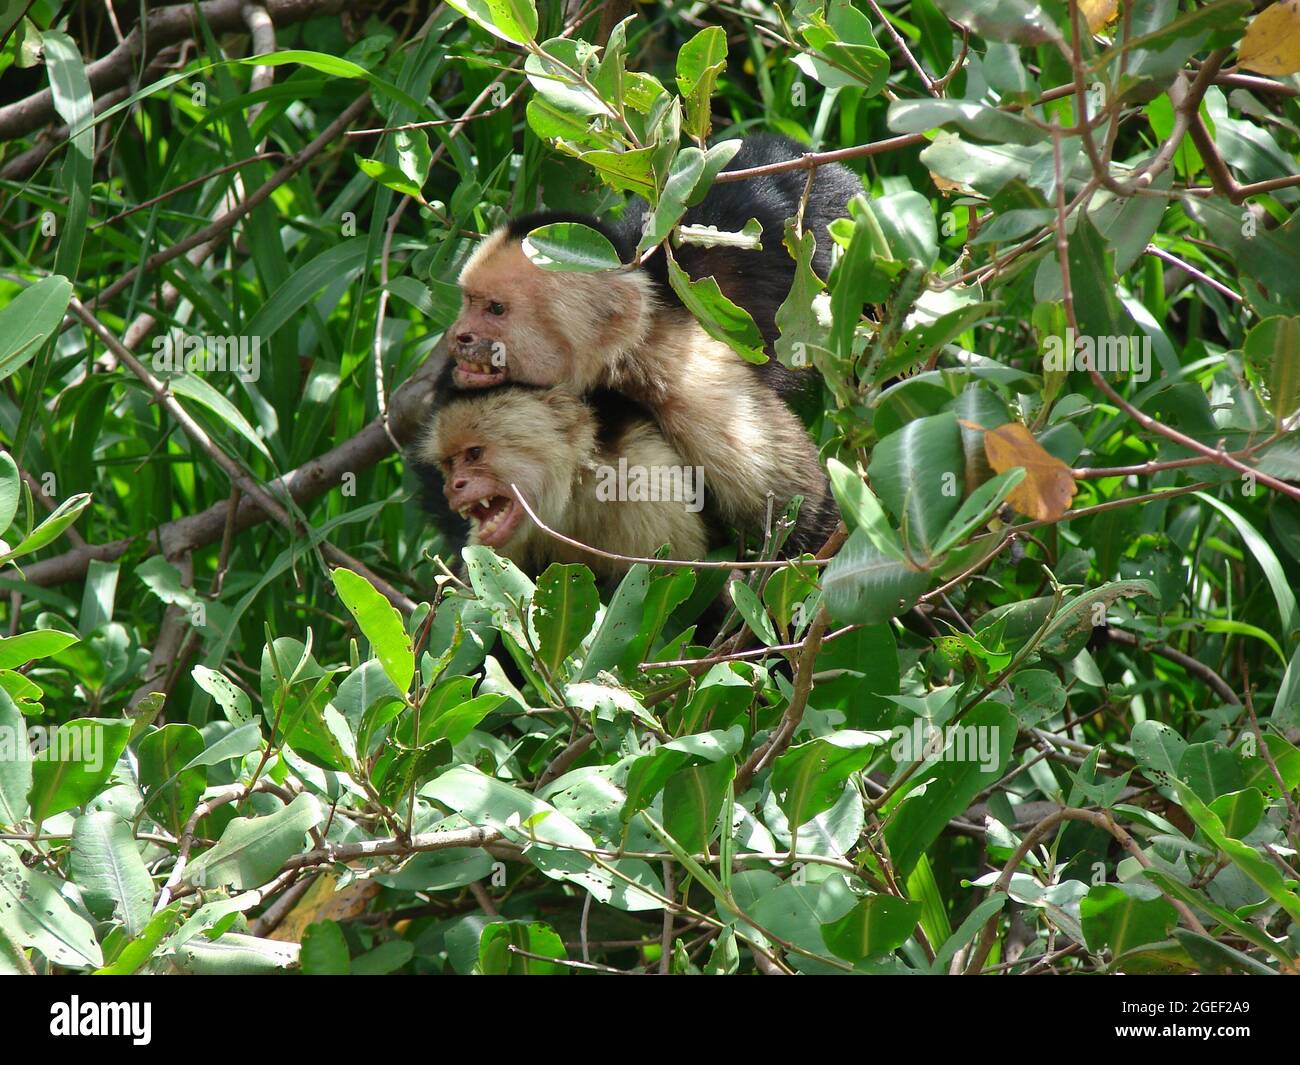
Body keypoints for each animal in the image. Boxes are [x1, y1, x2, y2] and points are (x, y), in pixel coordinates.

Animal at [447, 133, 852, 559]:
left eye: (496, 309)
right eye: (468, 301)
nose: (458, 336)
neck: (624, 362)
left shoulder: (692, 386)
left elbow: (801, 512)